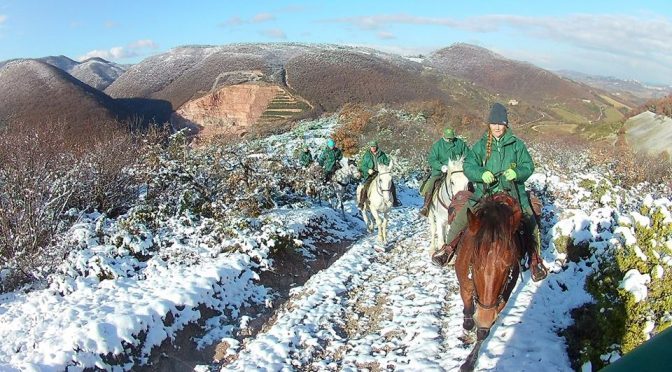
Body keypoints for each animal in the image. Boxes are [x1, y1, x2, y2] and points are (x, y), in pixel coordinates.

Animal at [454, 193, 528, 370]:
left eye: (509, 265)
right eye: (474, 261)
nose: (484, 316)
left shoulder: (502, 298)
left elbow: (484, 331)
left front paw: (469, 362)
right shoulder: (464, 285)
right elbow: (468, 311)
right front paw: (468, 324)